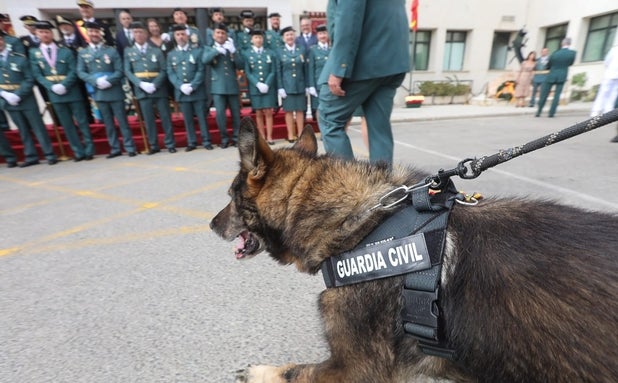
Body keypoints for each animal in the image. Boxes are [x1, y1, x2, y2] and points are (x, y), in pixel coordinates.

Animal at [209, 123, 612, 383]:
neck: (361, 224)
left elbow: (295, 372)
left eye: (230, 197)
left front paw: (260, 372)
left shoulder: (355, 368)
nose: (211, 224)